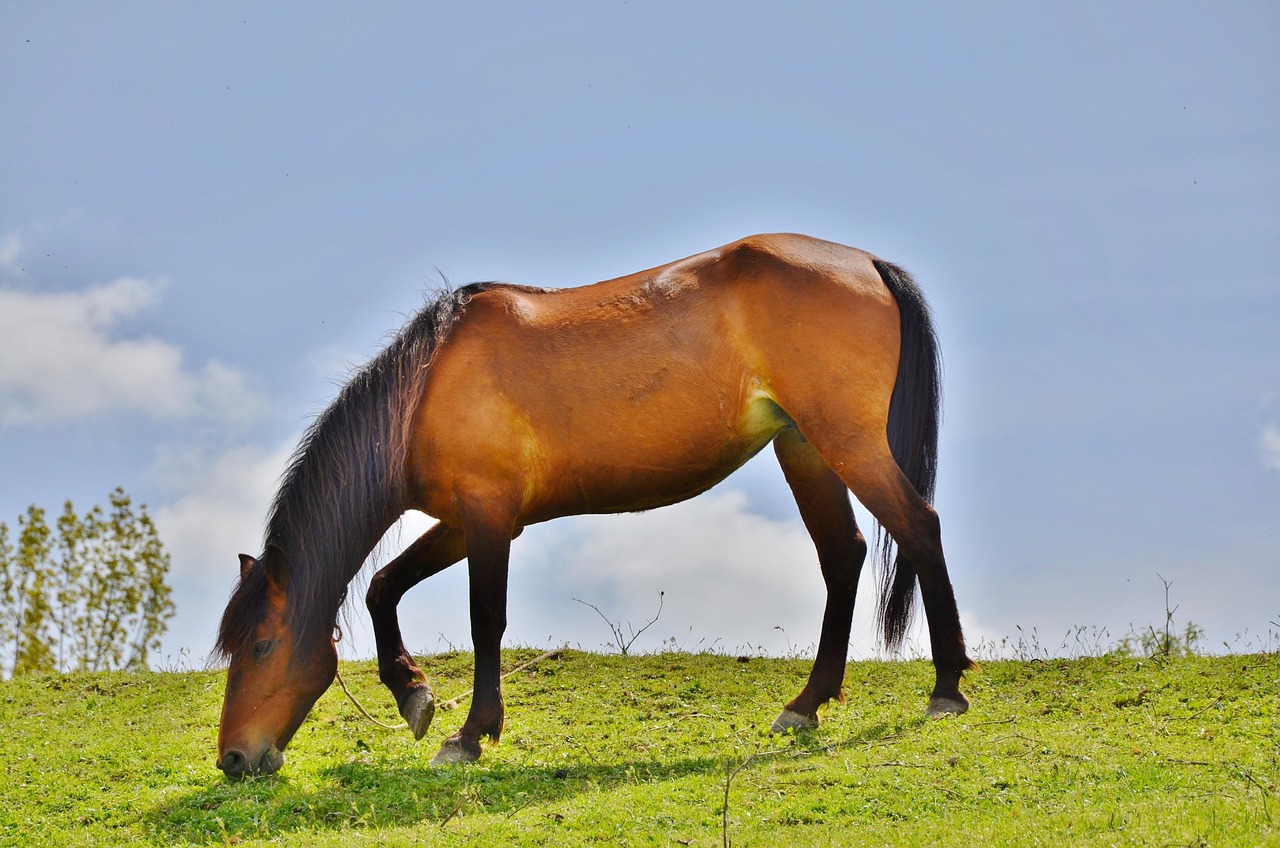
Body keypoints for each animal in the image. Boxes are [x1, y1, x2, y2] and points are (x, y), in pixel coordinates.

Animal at [212, 230, 967, 778]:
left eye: (262, 645)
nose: (234, 759)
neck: (425, 387)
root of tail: (866, 262)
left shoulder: (488, 521)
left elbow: (485, 622)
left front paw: (469, 735)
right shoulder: (465, 519)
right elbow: (382, 590)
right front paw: (414, 695)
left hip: (848, 443)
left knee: (919, 529)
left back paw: (947, 689)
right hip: (805, 447)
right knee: (844, 556)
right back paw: (806, 706)